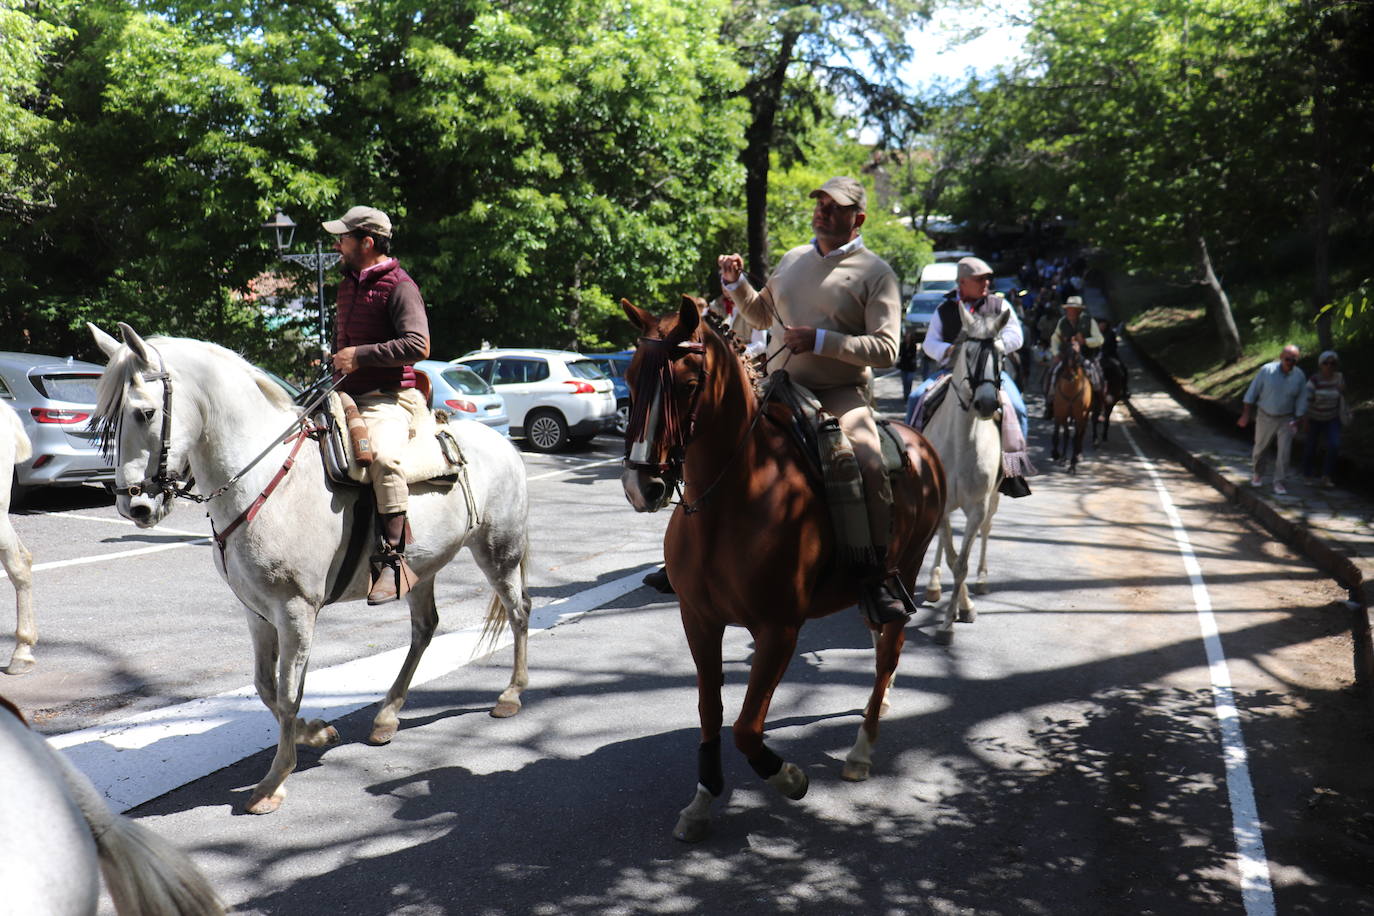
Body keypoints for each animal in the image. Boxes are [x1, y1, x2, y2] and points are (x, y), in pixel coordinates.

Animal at [91, 324, 530, 818]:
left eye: (144, 413)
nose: (134, 507)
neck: (261, 479)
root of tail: (503, 442)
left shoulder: (296, 611)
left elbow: (287, 692)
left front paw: (274, 782)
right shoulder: (257, 613)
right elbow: (265, 687)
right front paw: (315, 732)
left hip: (498, 553)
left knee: (519, 613)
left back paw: (510, 695)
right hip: (422, 568)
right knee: (425, 629)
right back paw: (386, 716)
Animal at [623, 298, 945, 840]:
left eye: (686, 384)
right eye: (627, 380)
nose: (640, 486)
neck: (731, 502)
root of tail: (920, 442)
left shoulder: (778, 631)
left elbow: (747, 728)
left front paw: (788, 777)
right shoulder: (699, 621)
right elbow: (711, 711)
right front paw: (703, 799)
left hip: (909, 566)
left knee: (887, 654)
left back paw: (862, 748)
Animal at [923, 307, 1011, 645]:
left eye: (1002, 354)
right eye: (970, 352)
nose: (987, 403)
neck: (961, 443)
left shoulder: (977, 507)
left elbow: (962, 563)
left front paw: (955, 617)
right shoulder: (941, 504)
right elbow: (950, 557)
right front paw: (952, 613)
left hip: (995, 498)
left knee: (987, 531)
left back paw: (982, 581)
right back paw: (933, 585)